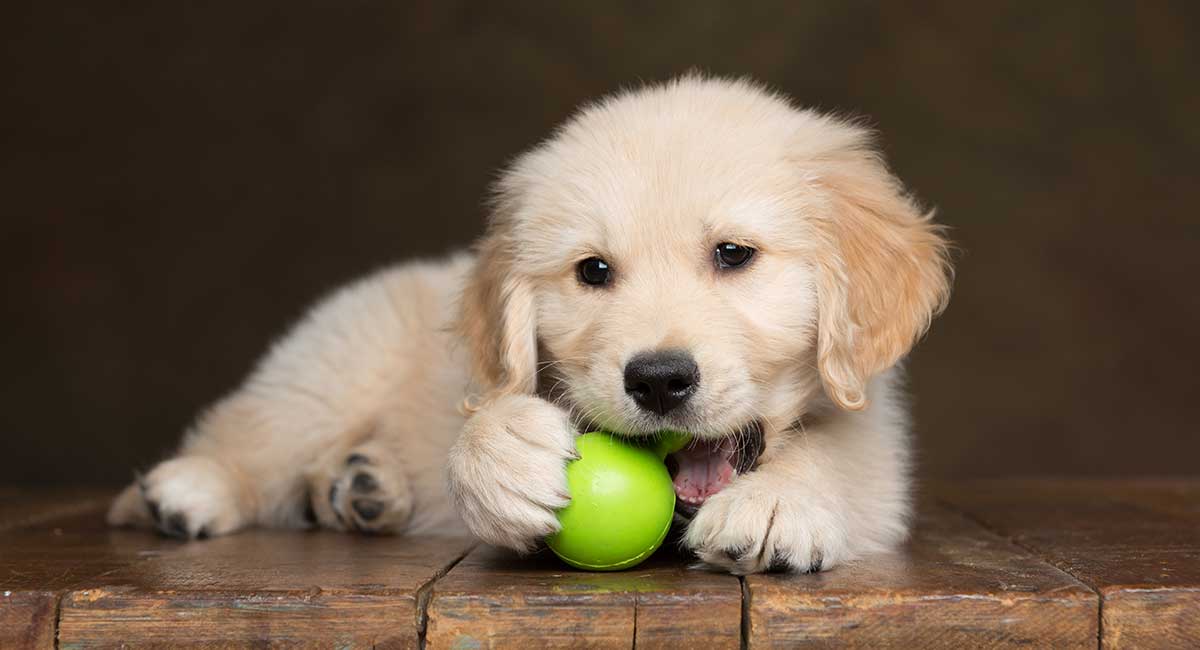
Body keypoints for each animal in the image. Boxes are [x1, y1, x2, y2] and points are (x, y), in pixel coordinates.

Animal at [114, 77, 955, 575]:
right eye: (593, 271)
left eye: (733, 254)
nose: (658, 380)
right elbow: (485, 418)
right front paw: (502, 453)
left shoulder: (881, 450)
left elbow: (839, 456)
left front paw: (778, 500)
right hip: (333, 362)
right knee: (254, 432)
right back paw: (191, 489)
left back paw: (362, 488)